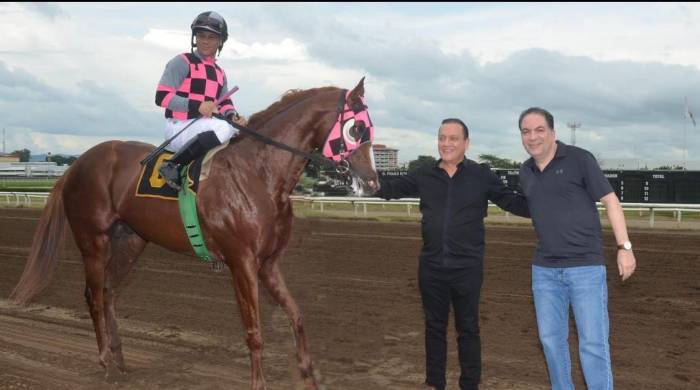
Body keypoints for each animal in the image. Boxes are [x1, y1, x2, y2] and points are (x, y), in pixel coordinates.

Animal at [8, 77, 380, 388]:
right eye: (357, 128)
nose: (374, 182)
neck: (258, 173)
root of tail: (75, 166)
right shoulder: (241, 262)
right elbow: (254, 330)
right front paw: (259, 383)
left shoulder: (269, 263)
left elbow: (297, 316)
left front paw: (308, 375)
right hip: (93, 240)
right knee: (94, 295)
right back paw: (106, 364)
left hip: (130, 240)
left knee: (110, 292)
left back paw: (121, 359)